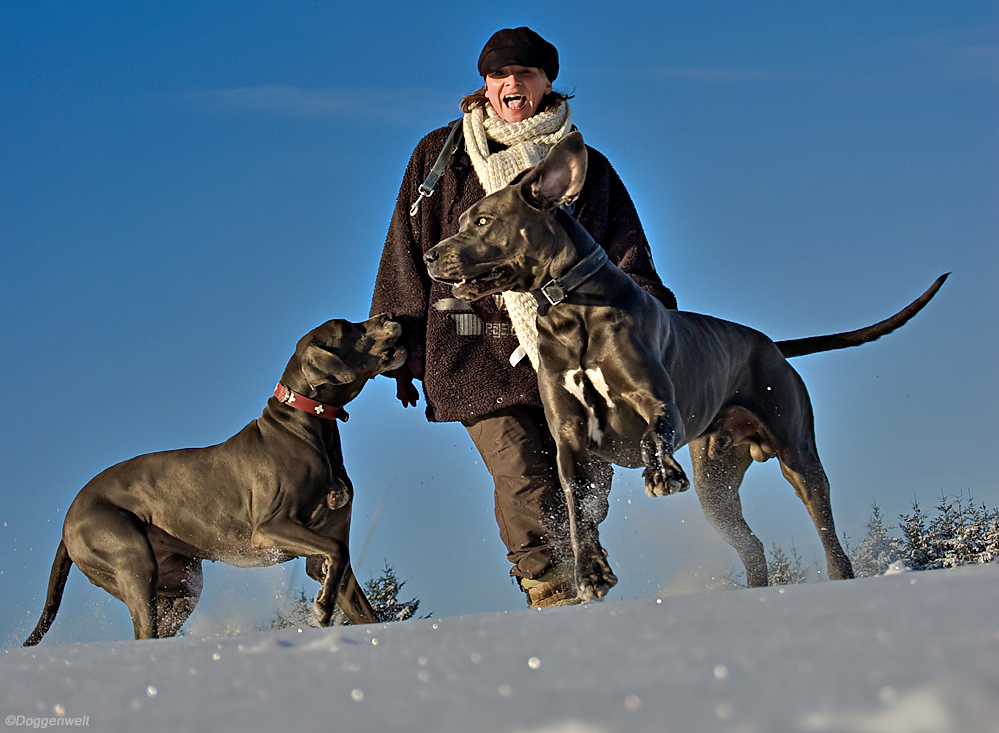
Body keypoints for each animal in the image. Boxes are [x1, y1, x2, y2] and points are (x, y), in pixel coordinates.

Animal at [24, 314, 406, 640]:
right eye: (349, 329)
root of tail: (68, 520)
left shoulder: (325, 553)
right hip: (128, 555)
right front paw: (322, 608)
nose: (390, 315)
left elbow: (357, 598)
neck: (309, 426)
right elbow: (335, 552)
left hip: (182, 582)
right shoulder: (270, 530)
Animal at [426, 133, 948, 600]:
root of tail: (772, 346)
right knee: (752, 545)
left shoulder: (657, 402)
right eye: (462, 219)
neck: (569, 309)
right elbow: (574, 511)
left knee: (826, 531)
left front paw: (660, 474)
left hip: (798, 455)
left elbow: (652, 433)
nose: (430, 254)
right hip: (716, 486)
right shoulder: (569, 440)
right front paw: (590, 573)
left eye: (483, 220)